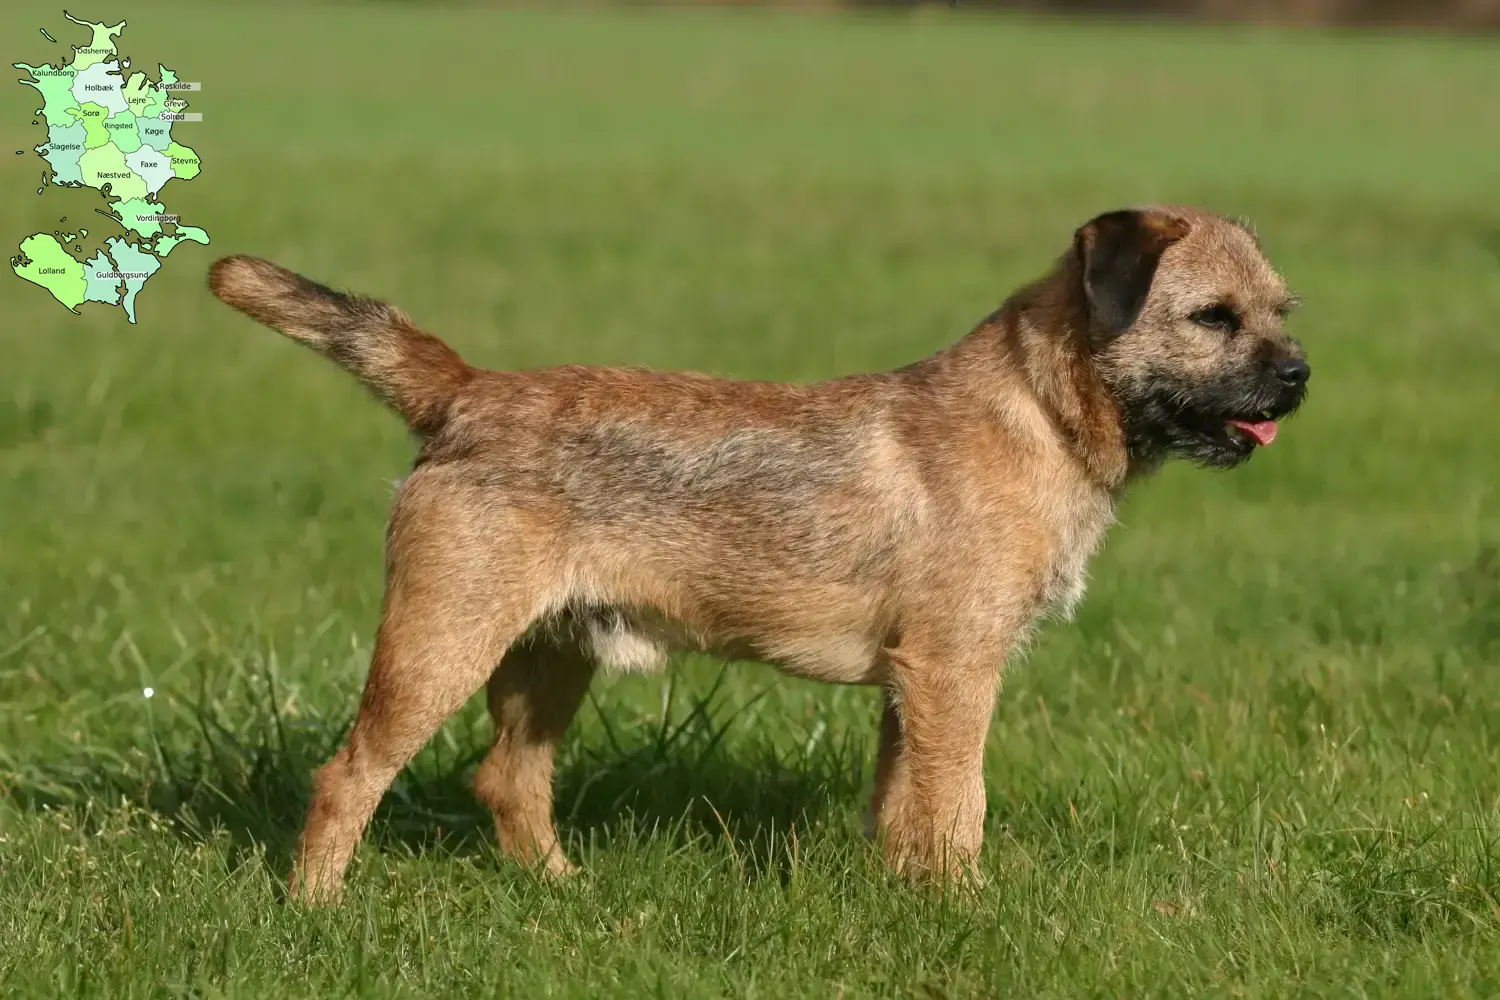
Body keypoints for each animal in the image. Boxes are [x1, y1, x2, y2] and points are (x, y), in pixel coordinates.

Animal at [205, 206, 1308, 905]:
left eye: (1282, 312)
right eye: (1212, 317)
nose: (1300, 375)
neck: (1037, 411)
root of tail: (466, 392)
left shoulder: (911, 684)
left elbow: (901, 807)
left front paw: (906, 903)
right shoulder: (954, 670)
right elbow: (959, 804)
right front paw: (966, 907)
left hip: (551, 655)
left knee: (507, 780)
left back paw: (566, 892)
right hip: (440, 643)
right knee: (348, 773)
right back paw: (314, 909)